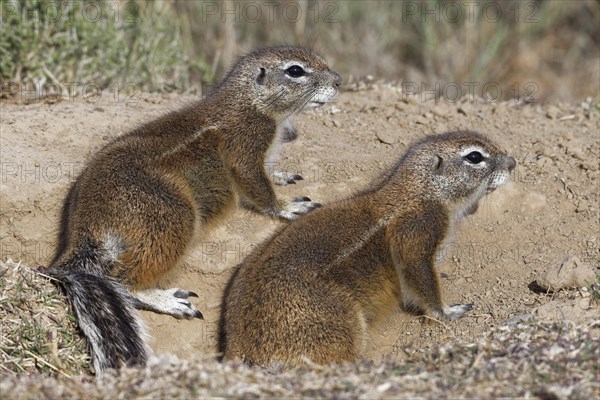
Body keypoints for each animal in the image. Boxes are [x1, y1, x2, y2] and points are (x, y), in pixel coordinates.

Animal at [44, 44, 340, 372]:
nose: (339, 81)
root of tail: (87, 223)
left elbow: (268, 173)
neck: (250, 103)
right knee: (124, 282)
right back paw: (169, 300)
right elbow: (257, 187)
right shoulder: (247, 147)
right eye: (295, 71)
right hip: (173, 217)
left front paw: (283, 176)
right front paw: (287, 206)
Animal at [223, 131, 512, 368]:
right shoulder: (418, 231)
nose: (513, 163)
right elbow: (421, 276)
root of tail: (242, 352)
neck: (420, 191)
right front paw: (450, 311)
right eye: (474, 156)